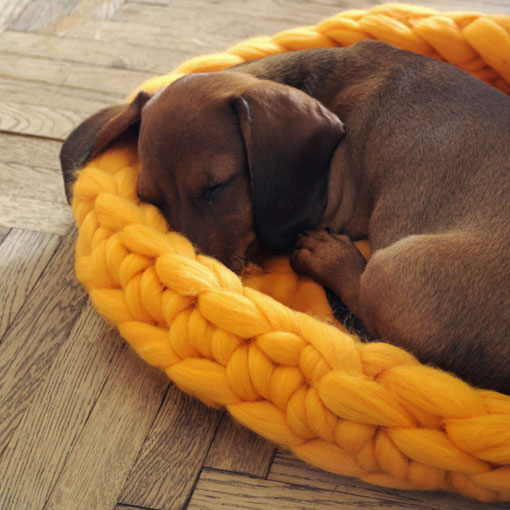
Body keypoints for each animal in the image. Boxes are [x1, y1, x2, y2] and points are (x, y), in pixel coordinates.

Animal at [60, 40, 510, 394]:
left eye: (218, 186)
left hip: (397, 267)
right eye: (151, 201)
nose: (197, 279)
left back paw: (330, 258)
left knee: (373, 311)